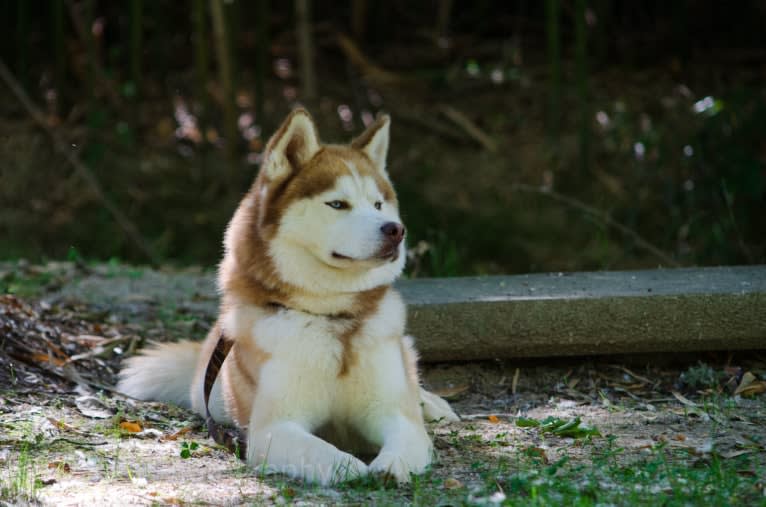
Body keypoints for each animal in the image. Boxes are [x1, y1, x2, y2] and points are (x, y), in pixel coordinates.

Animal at [117, 110, 460, 484]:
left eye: (378, 204)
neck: (333, 320)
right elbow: (324, 452)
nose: (396, 231)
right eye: (337, 204)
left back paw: (432, 404)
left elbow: (404, 439)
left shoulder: (396, 416)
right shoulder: (273, 429)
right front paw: (353, 468)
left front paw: (389, 466)